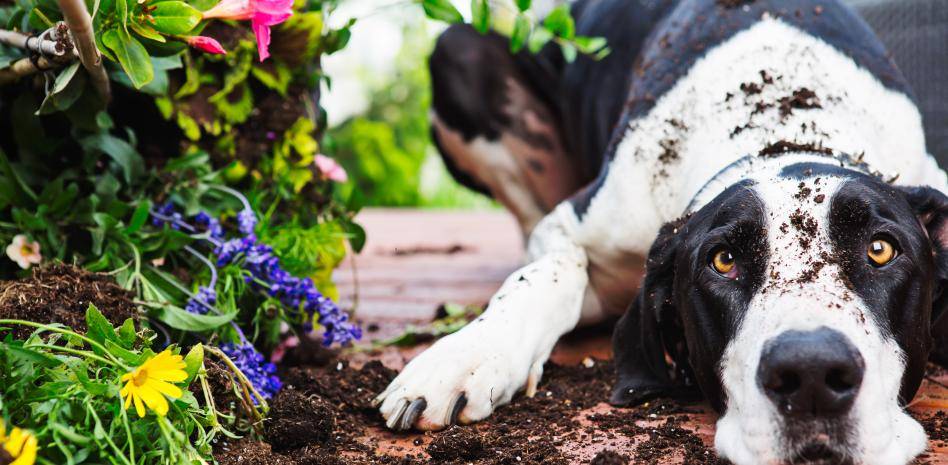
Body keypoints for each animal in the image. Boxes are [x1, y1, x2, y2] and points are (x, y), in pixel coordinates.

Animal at [370, 1, 948, 462]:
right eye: (723, 260)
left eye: (880, 249)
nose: (811, 376)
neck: (782, 129)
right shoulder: (576, 225)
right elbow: (546, 274)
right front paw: (467, 356)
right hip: (458, 51)